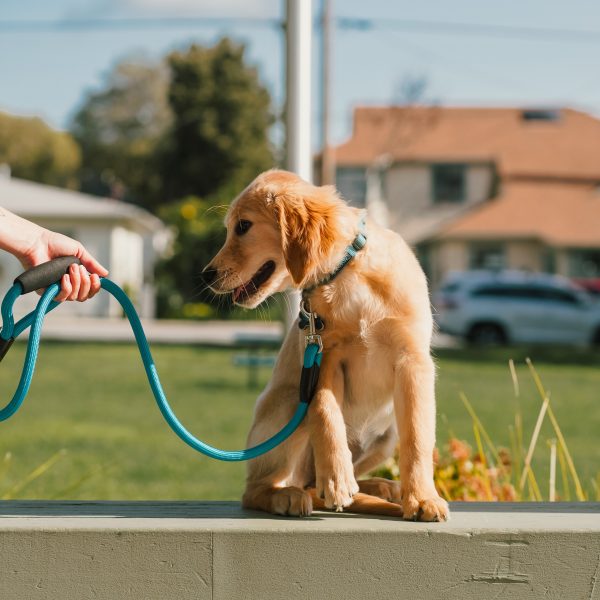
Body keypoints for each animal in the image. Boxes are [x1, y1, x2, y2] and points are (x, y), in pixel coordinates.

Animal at [204, 168, 448, 520]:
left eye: (243, 226)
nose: (206, 275)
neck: (347, 275)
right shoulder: (325, 356)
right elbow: (324, 410)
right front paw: (335, 478)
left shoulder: (412, 360)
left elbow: (417, 437)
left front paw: (422, 498)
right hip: (290, 402)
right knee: (257, 490)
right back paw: (288, 495)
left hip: (385, 437)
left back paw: (380, 487)